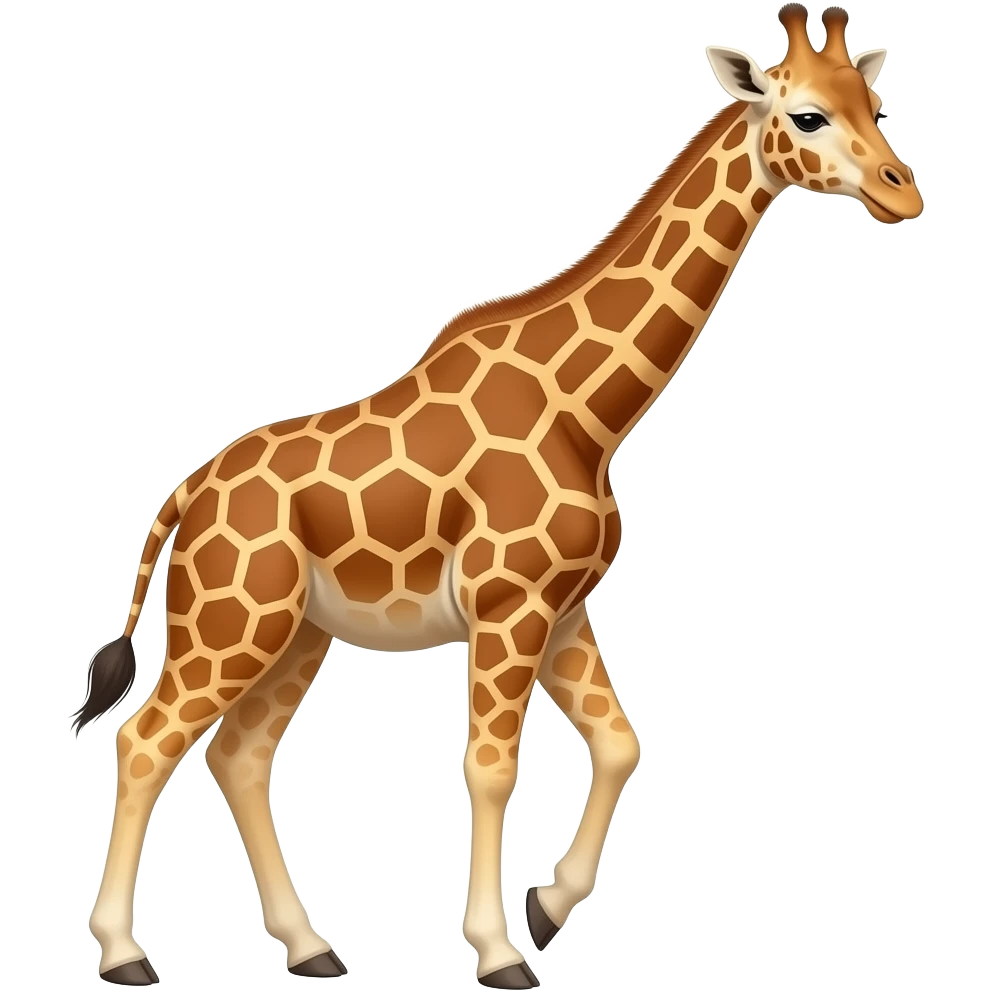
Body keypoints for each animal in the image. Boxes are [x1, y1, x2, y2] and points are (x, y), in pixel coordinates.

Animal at [70, 4, 923, 988]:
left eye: (874, 104)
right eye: (806, 117)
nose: (904, 193)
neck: (587, 412)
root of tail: (185, 495)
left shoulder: (563, 609)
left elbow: (621, 742)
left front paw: (544, 910)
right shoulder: (507, 605)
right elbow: (489, 765)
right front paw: (498, 949)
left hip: (298, 632)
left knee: (237, 755)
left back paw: (310, 945)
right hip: (231, 621)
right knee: (147, 739)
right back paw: (125, 952)